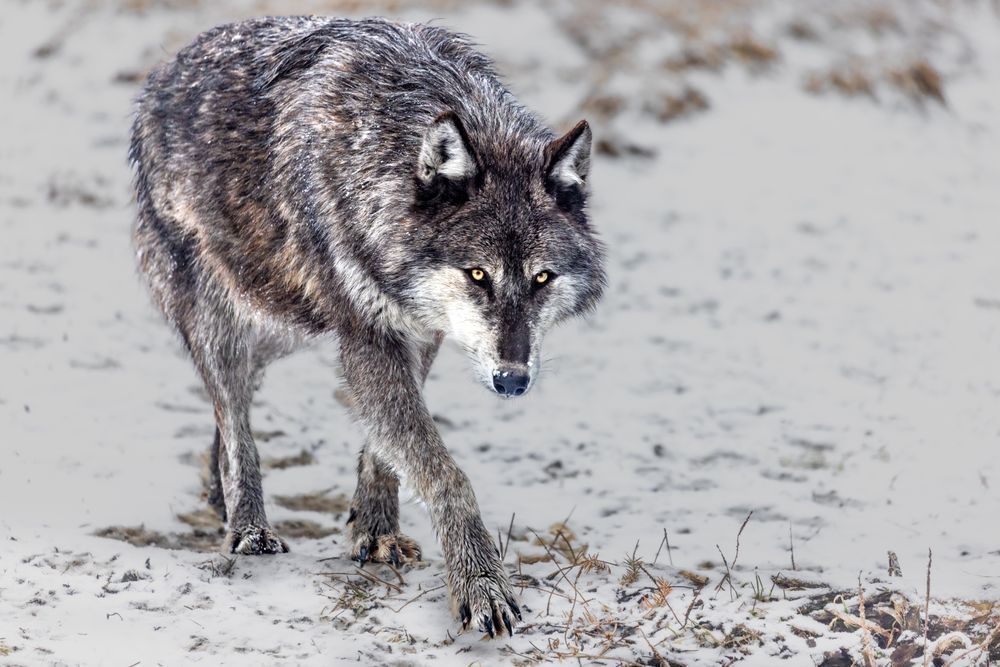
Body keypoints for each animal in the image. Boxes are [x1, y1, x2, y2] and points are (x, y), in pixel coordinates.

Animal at [129, 16, 605, 636]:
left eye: (543, 277)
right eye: (478, 273)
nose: (512, 381)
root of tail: (161, 72)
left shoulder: (417, 328)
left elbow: (388, 449)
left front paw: (377, 532)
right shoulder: (367, 337)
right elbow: (444, 472)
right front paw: (480, 582)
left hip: (281, 319)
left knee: (228, 410)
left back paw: (219, 493)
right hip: (224, 318)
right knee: (234, 417)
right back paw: (248, 528)